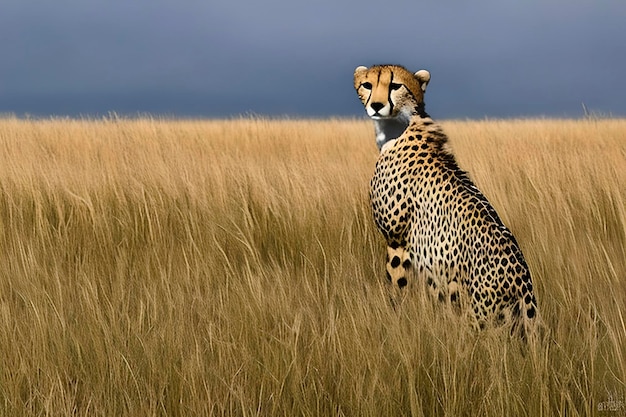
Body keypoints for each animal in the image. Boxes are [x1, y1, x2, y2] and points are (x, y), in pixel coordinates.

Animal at [354, 62, 532, 334]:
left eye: (395, 85)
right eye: (367, 85)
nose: (376, 105)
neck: (400, 125)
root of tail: (523, 282)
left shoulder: (397, 240)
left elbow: (396, 286)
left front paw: (393, 317)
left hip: (475, 310)